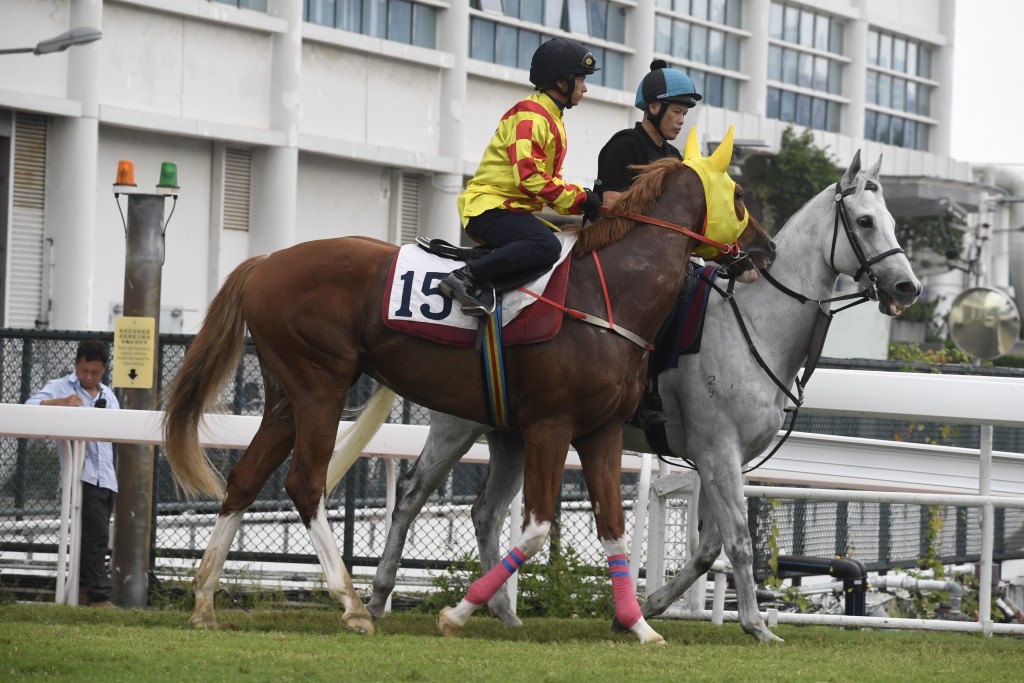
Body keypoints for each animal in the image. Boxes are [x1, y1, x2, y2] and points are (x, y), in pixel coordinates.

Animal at [159, 141, 770, 643]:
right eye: (739, 193)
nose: (764, 249)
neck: (610, 294)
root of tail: (265, 262)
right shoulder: (550, 427)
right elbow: (537, 528)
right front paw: (457, 613)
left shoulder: (600, 433)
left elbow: (613, 529)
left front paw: (638, 623)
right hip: (321, 388)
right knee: (306, 483)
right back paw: (353, 603)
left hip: (287, 394)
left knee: (244, 479)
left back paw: (205, 602)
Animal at [358, 150, 921, 643]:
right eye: (865, 222)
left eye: (895, 221)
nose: (907, 288)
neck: (756, 324)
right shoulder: (718, 453)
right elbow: (738, 541)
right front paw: (756, 626)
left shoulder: (723, 458)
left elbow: (709, 548)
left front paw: (645, 608)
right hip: (460, 422)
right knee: (411, 494)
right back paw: (379, 598)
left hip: (511, 432)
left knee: (485, 512)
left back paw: (499, 610)